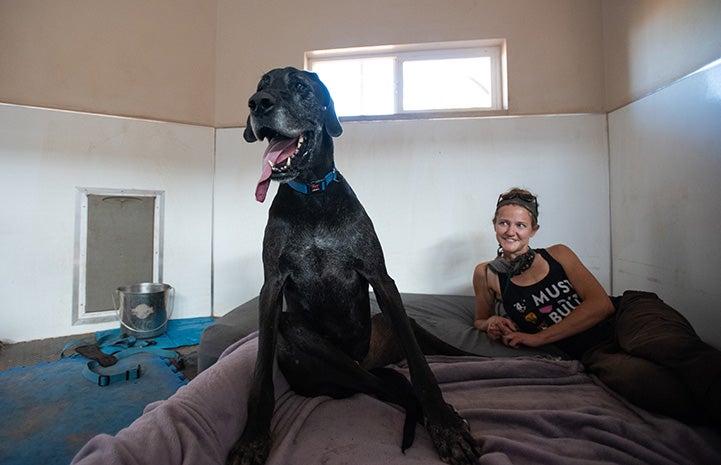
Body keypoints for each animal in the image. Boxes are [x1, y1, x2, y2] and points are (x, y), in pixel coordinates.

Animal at [228, 66, 480, 464]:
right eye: (261, 86)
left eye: (300, 86)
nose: (258, 104)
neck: (313, 194)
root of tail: (367, 360)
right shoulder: (271, 289)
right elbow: (259, 374)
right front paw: (252, 437)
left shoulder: (381, 278)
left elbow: (421, 367)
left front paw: (446, 425)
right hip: (310, 345)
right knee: (382, 386)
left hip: (392, 328)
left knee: (436, 356)